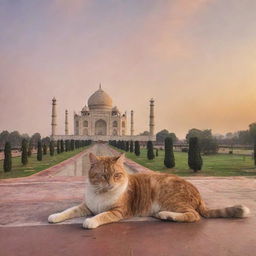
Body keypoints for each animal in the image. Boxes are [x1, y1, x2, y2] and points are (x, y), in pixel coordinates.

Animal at [48, 153, 250, 229]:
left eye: (117, 175)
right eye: (103, 176)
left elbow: (102, 215)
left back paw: (167, 215)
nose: (111, 184)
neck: (101, 194)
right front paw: (55, 216)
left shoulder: (119, 211)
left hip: (171, 198)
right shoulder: (87, 206)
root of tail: (197, 192)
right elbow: (70, 210)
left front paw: (90, 221)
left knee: (193, 215)